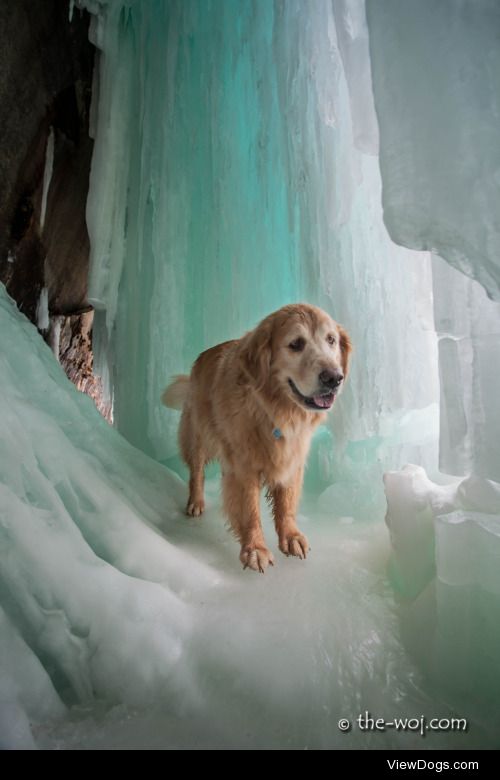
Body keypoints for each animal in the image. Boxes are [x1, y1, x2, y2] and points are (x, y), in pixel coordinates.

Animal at [163, 304, 352, 572]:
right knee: (196, 471)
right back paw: (195, 501)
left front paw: (291, 536)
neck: (274, 411)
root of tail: (201, 356)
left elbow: (286, 503)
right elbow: (249, 509)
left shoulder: (291, 459)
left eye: (331, 340)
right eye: (296, 344)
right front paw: (255, 549)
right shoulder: (244, 466)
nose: (334, 378)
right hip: (199, 434)